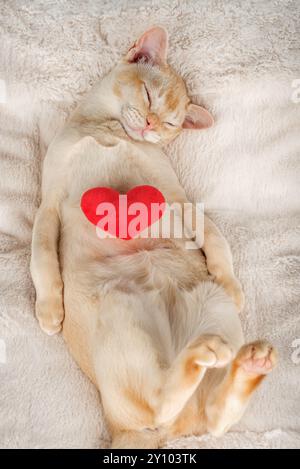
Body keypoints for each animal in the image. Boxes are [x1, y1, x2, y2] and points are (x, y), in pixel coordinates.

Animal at [30, 27, 276, 448]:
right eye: (148, 96)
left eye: (170, 124)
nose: (148, 124)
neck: (110, 132)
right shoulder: (49, 204)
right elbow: (41, 258)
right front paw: (49, 310)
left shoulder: (176, 196)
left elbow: (214, 236)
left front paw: (231, 282)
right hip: (120, 311)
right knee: (165, 406)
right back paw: (229, 361)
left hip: (209, 308)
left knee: (208, 415)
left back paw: (245, 363)